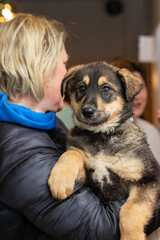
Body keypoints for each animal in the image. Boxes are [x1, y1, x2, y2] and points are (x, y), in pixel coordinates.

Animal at [48, 61, 160, 239]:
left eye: (106, 89)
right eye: (81, 88)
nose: (86, 111)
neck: (101, 135)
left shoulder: (148, 178)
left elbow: (130, 210)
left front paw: (131, 236)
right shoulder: (89, 181)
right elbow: (72, 152)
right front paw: (60, 180)